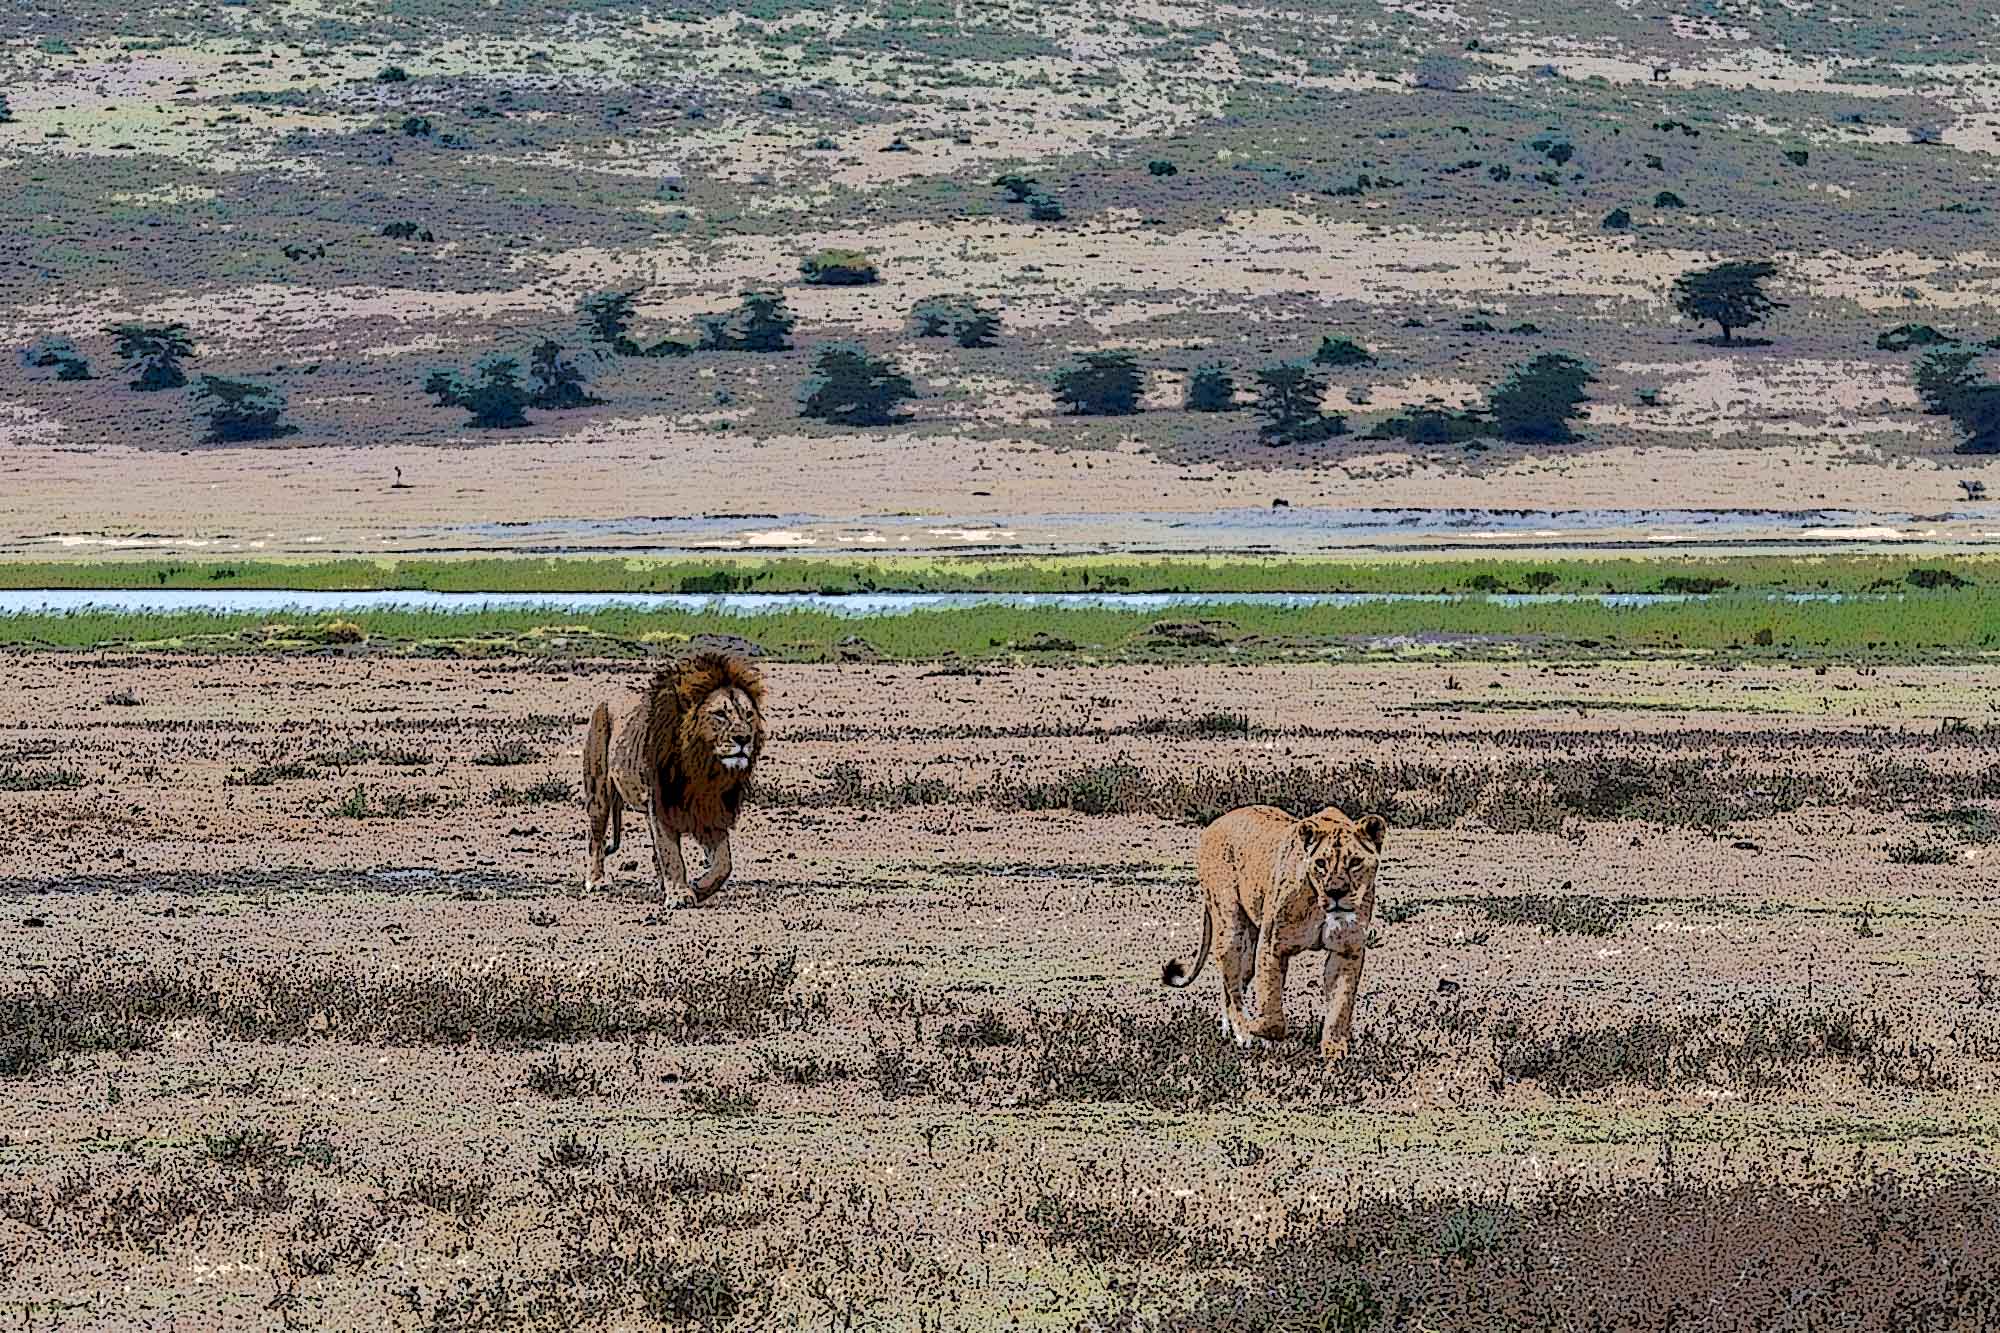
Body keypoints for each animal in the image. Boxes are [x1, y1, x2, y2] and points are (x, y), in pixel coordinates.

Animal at [584, 648, 768, 896]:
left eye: (748, 714)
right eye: (720, 714)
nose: (743, 738)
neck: (704, 769)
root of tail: (606, 698)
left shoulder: (711, 810)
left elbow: (724, 864)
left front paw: (699, 888)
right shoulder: (661, 805)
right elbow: (671, 854)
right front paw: (680, 894)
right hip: (599, 792)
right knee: (596, 839)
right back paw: (596, 880)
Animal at [1160, 804, 1392, 1056]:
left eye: (1355, 862)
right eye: (1321, 863)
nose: (1336, 892)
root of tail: (1215, 822)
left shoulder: (1347, 951)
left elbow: (1340, 1007)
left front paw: (1335, 1053)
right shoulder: (1272, 945)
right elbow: (1271, 1005)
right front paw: (1259, 1029)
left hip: (1249, 948)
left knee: (1232, 984)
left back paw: (1229, 1030)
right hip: (1230, 926)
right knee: (1232, 986)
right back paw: (1242, 1032)